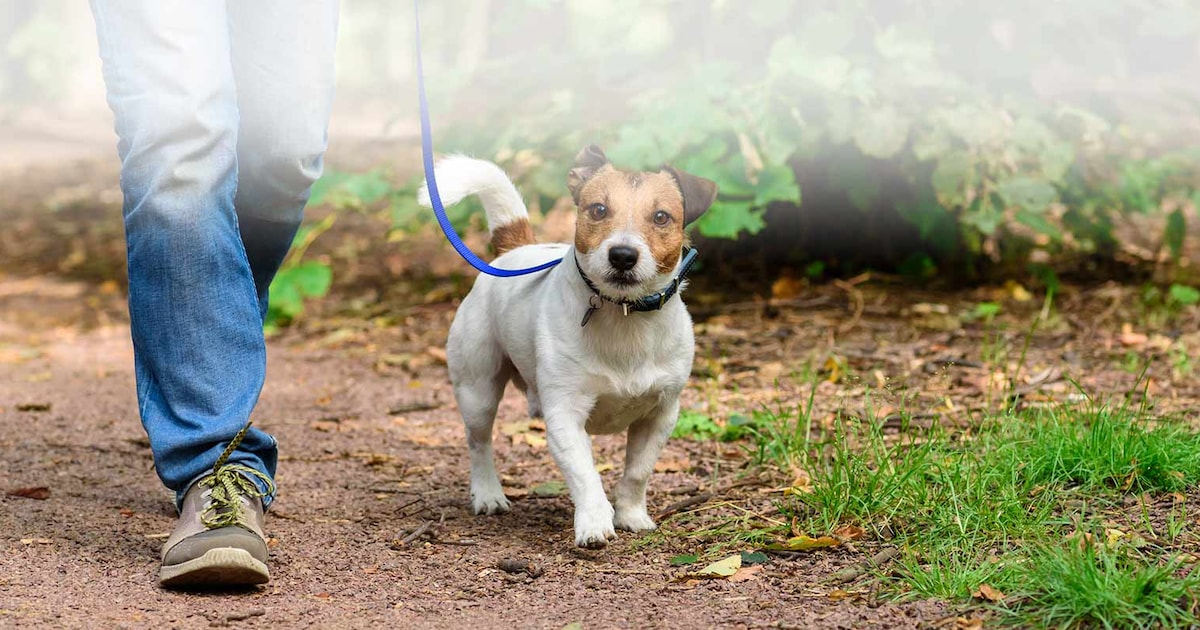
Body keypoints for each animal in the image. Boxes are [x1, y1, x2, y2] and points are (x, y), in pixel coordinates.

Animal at [420, 143, 715, 544]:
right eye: (599, 210)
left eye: (661, 217)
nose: (623, 255)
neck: (623, 316)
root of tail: (515, 249)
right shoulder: (565, 414)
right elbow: (586, 476)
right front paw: (594, 524)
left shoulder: (661, 414)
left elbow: (637, 472)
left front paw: (631, 515)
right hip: (477, 390)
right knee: (479, 443)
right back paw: (488, 494)